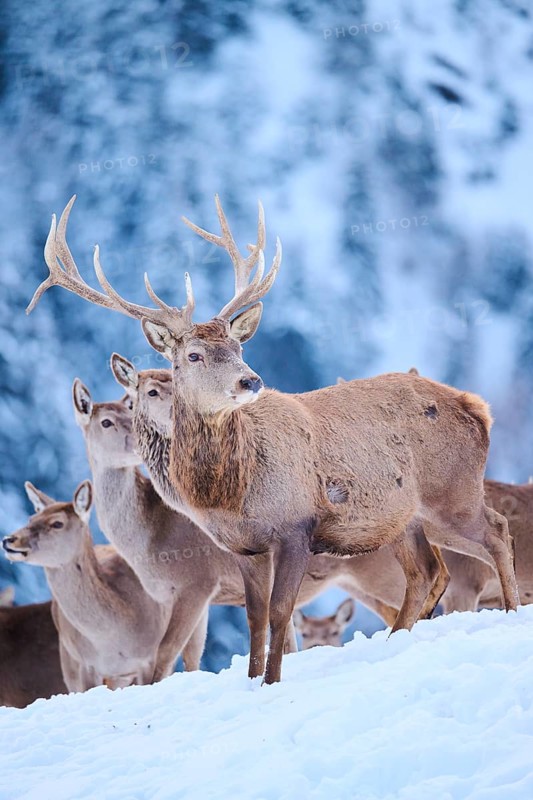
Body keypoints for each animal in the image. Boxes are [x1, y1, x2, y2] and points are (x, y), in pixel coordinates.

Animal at [2, 481, 169, 691]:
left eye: (57, 523)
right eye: (31, 518)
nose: (9, 539)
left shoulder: (148, 659)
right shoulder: (87, 664)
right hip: (68, 658)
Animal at [28, 195, 518, 683]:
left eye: (238, 348)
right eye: (194, 354)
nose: (250, 380)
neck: (230, 492)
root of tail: (478, 408)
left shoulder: (295, 528)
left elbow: (281, 613)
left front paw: (272, 681)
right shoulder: (244, 547)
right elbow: (255, 618)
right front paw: (252, 681)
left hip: (451, 491)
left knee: (496, 531)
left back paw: (512, 615)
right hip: (405, 518)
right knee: (428, 572)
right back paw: (396, 641)